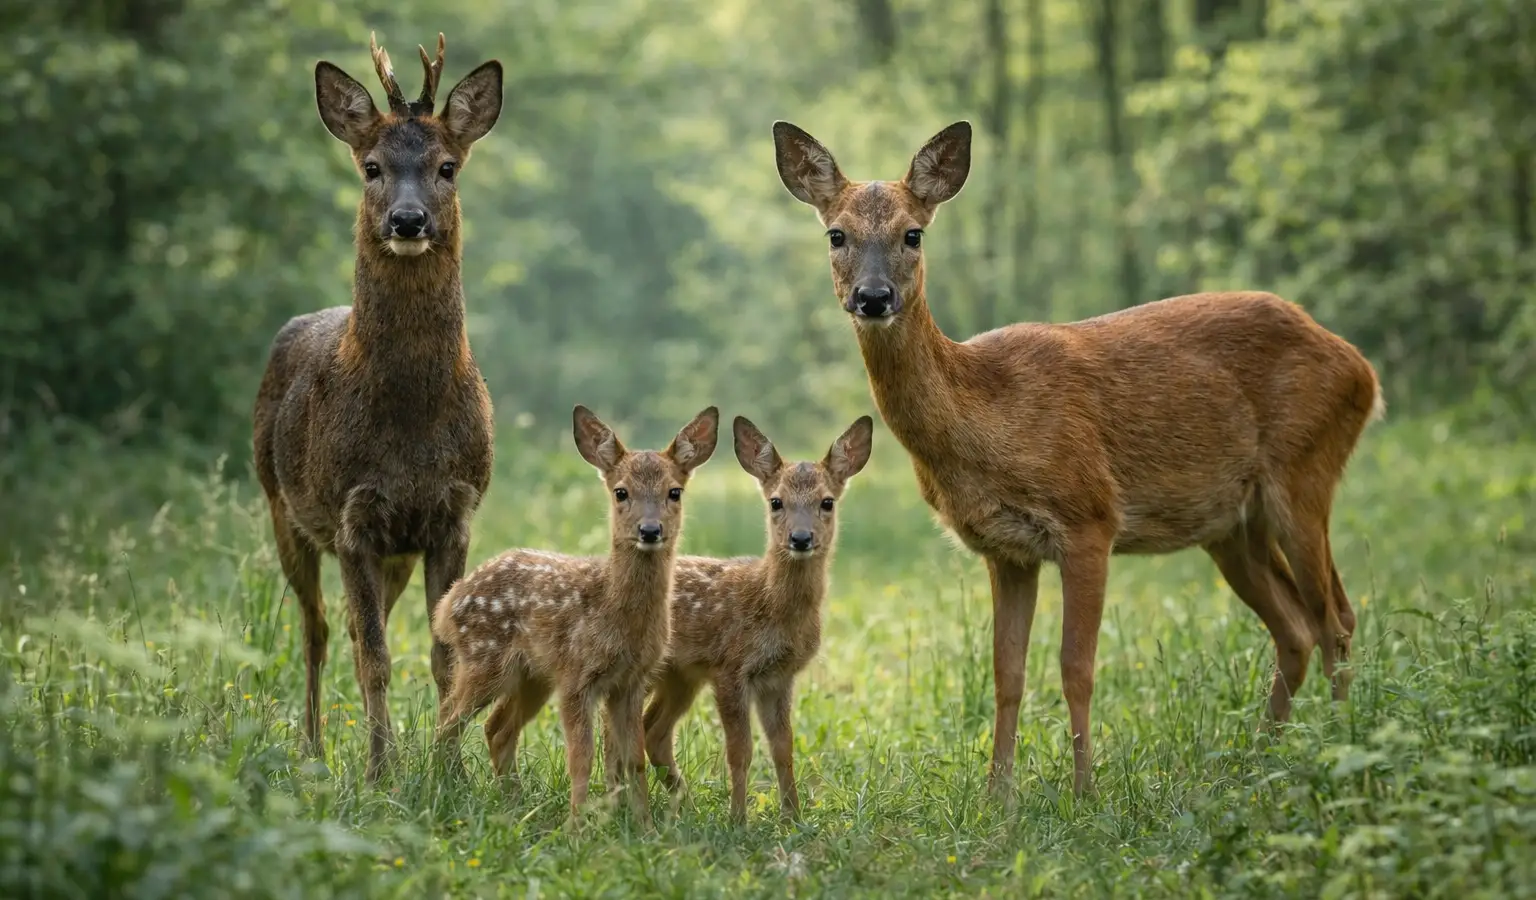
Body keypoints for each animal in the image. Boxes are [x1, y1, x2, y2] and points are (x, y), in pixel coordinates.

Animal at [252, 33, 503, 783]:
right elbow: (374, 659)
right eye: (371, 167)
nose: (408, 220)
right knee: (317, 631)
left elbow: (443, 655)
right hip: (282, 508)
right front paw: (380, 774)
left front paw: (447, 770)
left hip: (391, 551)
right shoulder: (352, 514)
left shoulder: (453, 513)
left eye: (447, 166)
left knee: (353, 626)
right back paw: (312, 749)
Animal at [433, 405, 719, 825]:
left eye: (674, 491)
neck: (613, 611)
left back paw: (514, 804)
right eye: (621, 492)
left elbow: (633, 759)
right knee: (447, 722)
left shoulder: (630, 681)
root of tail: (448, 604)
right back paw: (447, 790)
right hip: (484, 659)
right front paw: (577, 828)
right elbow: (581, 759)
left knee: (495, 729)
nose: (650, 530)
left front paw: (644, 827)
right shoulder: (576, 676)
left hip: (532, 677)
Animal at [642, 415, 873, 823]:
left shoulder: (778, 677)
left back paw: (683, 804)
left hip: (680, 677)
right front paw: (737, 820)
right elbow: (741, 751)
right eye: (776, 501)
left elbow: (783, 748)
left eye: (827, 502)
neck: (771, 608)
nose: (800, 538)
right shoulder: (730, 669)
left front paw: (794, 818)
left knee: (652, 730)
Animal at [770, 120, 1385, 798]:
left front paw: (1085, 790)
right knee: (1296, 629)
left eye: (913, 233)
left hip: (1304, 471)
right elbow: (1007, 674)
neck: (988, 414)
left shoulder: (1090, 518)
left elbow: (1076, 667)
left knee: (1337, 619)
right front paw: (998, 796)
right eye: (837, 234)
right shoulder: (1007, 549)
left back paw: (1341, 747)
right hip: (1231, 525)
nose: (873, 297)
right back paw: (1264, 757)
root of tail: (1361, 367)